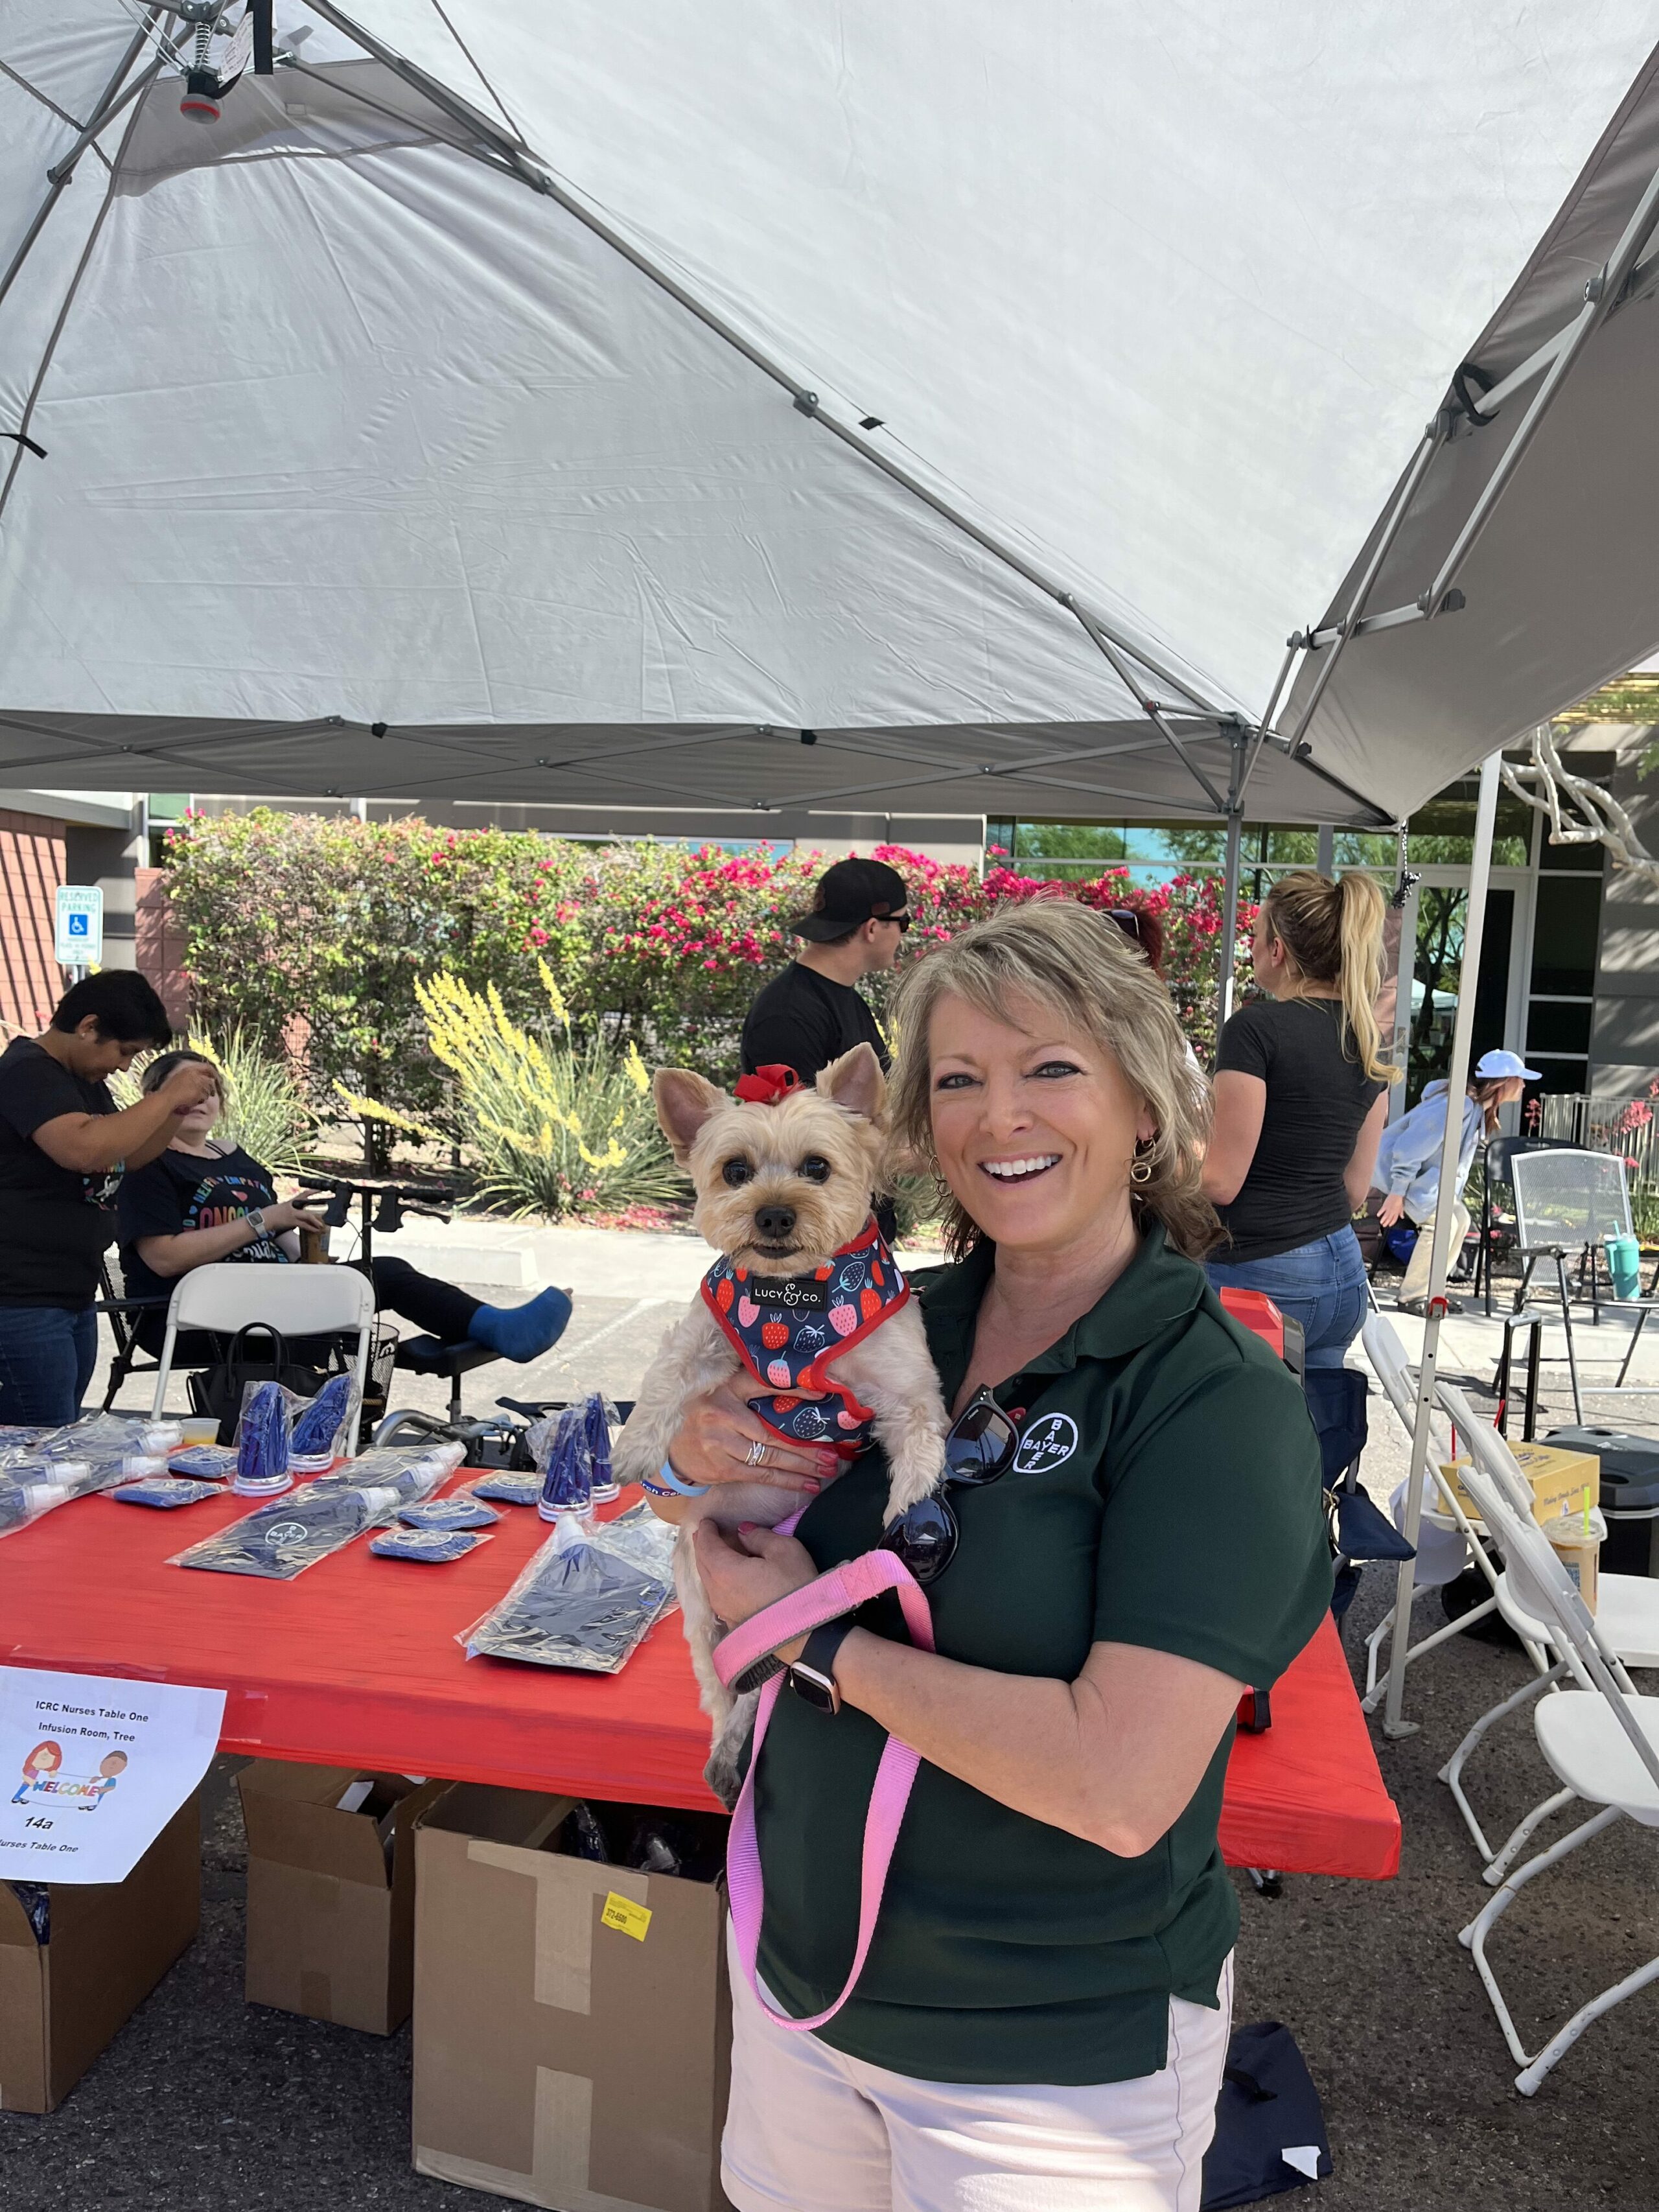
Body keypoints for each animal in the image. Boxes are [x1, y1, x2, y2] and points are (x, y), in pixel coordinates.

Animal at [614, 1045, 949, 1801]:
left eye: (817, 1167)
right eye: (735, 1170)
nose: (772, 1214)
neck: (795, 1300)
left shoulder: (902, 1381)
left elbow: (920, 1430)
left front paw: (909, 1504)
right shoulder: (707, 1336)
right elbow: (665, 1376)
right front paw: (634, 1448)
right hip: (697, 1598)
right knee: (724, 1686)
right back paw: (725, 1751)